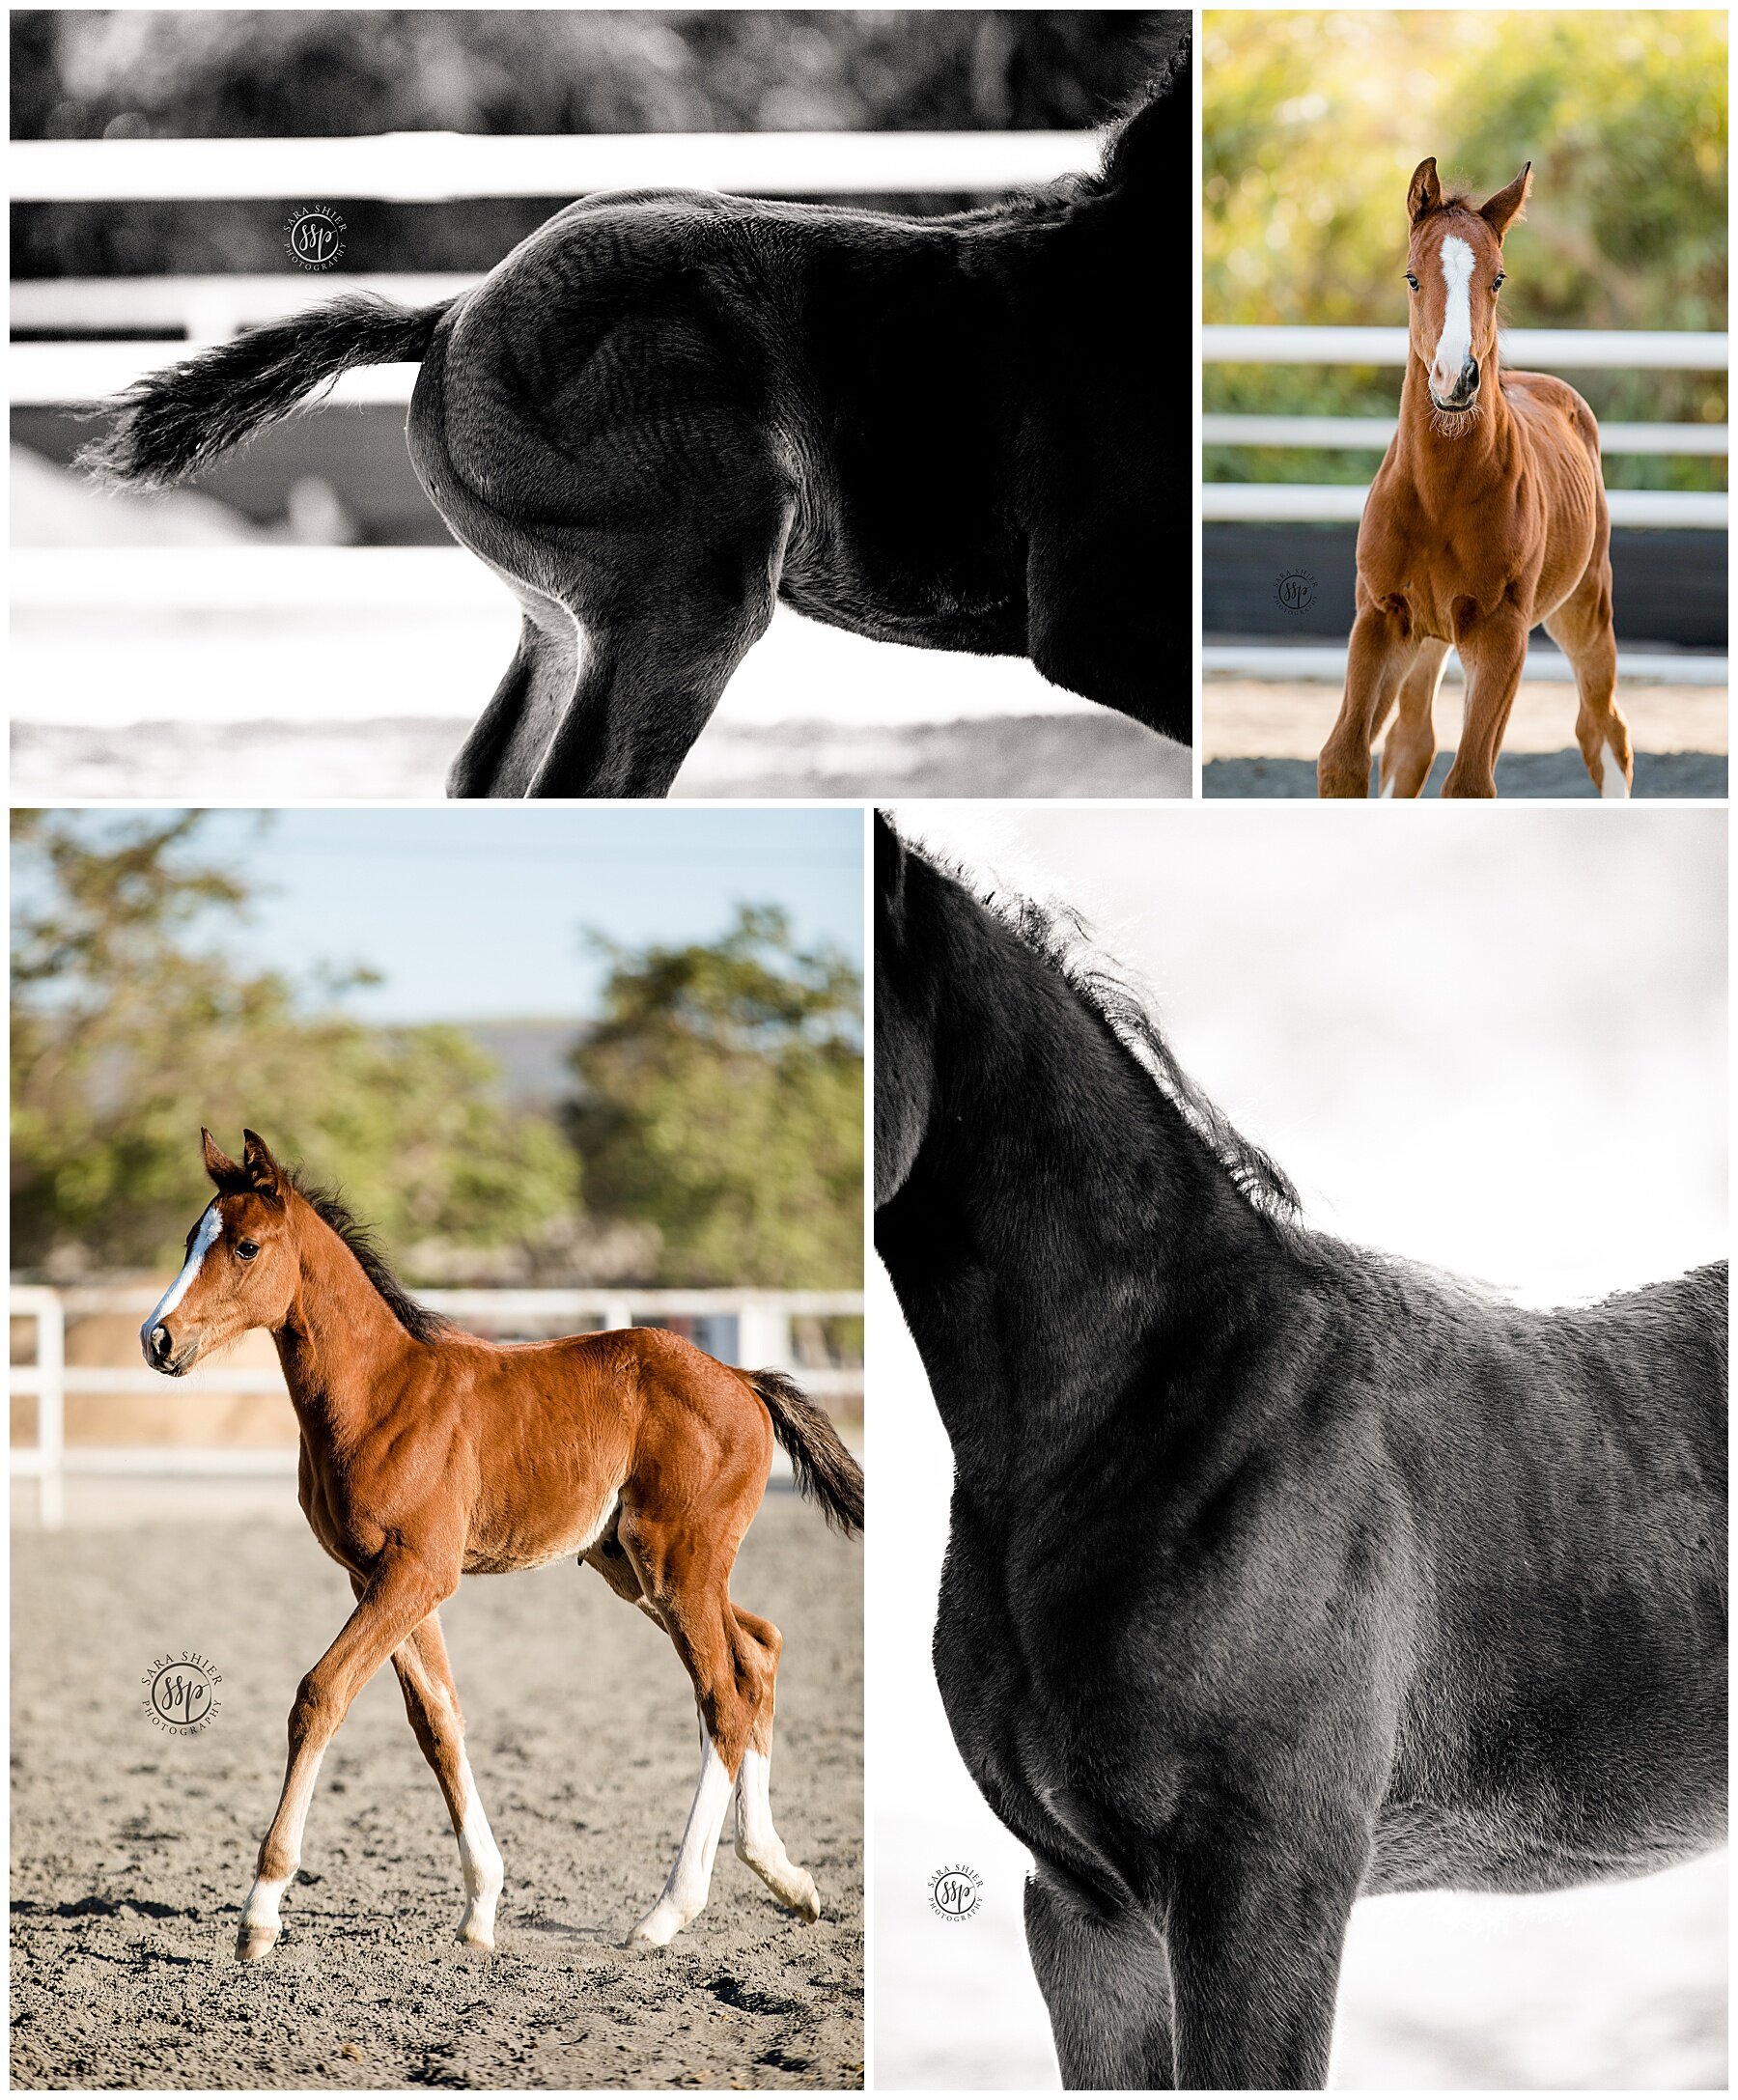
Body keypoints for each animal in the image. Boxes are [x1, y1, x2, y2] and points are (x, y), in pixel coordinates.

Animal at [142, 1142, 860, 1957]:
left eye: (245, 1246)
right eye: (190, 1240)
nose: (157, 1338)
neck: (379, 1395)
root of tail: (741, 1377)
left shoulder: (418, 1572)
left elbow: (319, 1695)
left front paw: (260, 1910)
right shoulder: (380, 1578)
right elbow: (438, 1722)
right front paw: (482, 1905)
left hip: (677, 1562)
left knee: (724, 1700)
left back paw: (666, 1912)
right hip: (638, 1569)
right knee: (758, 1651)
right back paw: (786, 1877)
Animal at [1326, 159, 1637, 798]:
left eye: (1497, 279)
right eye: (1413, 278)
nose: (1457, 377)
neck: (1439, 498)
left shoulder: (1499, 636)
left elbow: (1470, 780)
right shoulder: (1379, 617)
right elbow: (1343, 760)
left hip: (1584, 608)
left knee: (1603, 730)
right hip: (1427, 640)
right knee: (1410, 743)